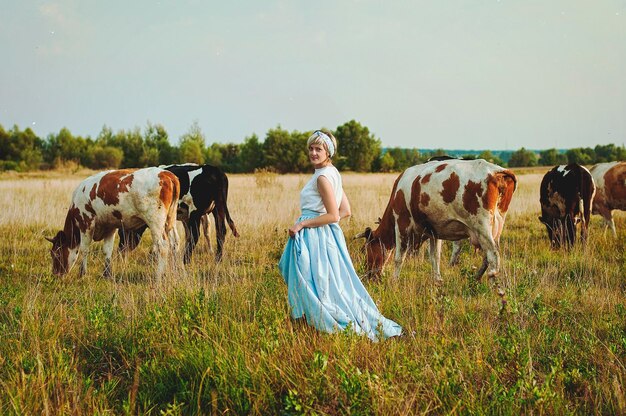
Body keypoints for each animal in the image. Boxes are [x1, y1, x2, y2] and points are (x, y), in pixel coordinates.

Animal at [45, 167, 178, 280]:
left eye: (56, 254)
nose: (55, 274)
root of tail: (167, 174)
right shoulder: (110, 226)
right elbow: (107, 250)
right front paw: (107, 274)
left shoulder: (86, 223)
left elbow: (84, 249)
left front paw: (82, 273)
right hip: (169, 222)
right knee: (172, 244)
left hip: (155, 222)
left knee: (162, 246)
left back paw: (158, 277)